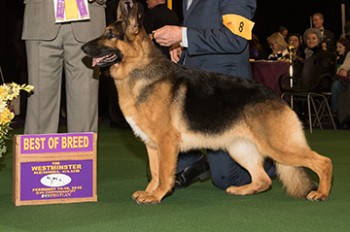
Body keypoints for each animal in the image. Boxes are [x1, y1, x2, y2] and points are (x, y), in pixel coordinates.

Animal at [81, 0, 330, 204]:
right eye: (104, 33)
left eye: (110, 35)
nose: (83, 48)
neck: (138, 68)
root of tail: (277, 97)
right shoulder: (152, 145)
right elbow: (154, 171)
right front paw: (150, 191)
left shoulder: (166, 143)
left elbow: (164, 173)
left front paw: (158, 195)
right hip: (239, 149)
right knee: (263, 180)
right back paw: (241, 190)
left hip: (278, 147)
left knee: (323, 162)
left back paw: (321, 193)